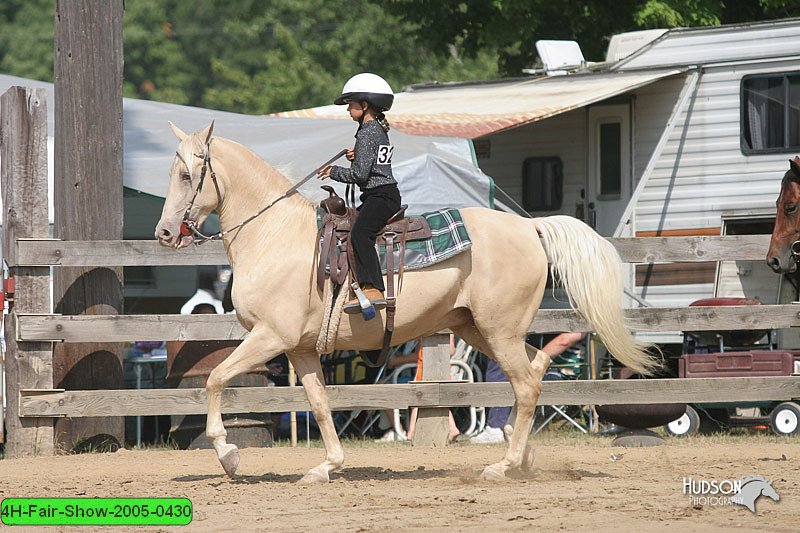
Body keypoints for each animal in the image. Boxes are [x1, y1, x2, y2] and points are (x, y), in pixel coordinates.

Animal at [155, 123, 656, 482]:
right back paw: (523, 453)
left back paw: (503, 466)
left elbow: (216, 379)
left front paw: (228, 455)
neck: (273, 235)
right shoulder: (299, 349)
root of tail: (529, 227)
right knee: (534, 369)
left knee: (527, 385)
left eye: (186, 175)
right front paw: (326, 466)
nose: (164, 233)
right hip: (482, 329)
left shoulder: (268, 337)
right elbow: (319, 403)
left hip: (499, 330)